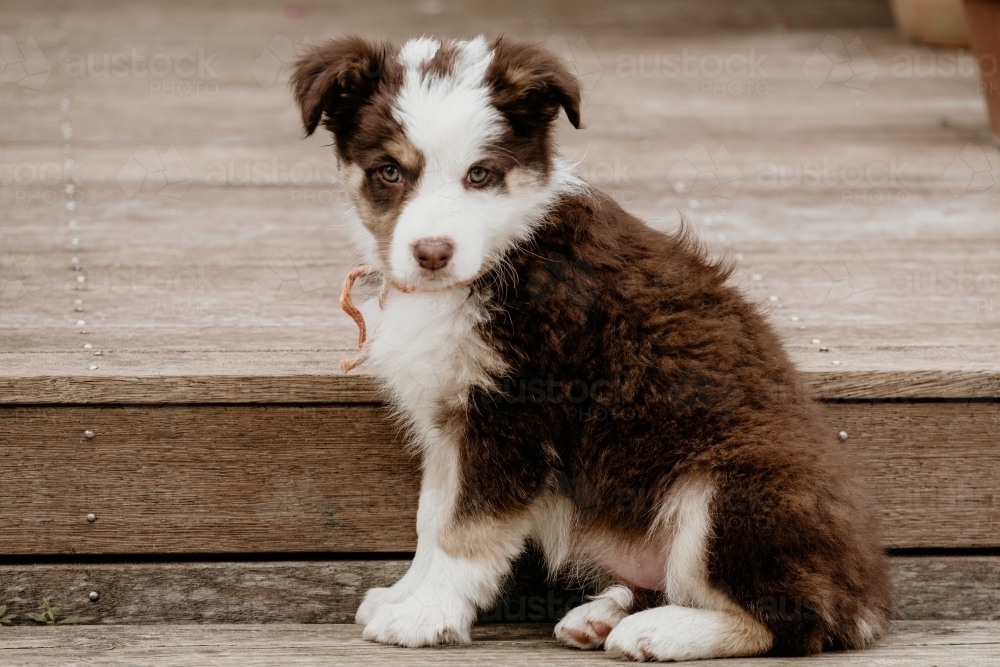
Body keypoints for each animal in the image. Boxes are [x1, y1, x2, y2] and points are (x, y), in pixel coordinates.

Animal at [290, 35, 892, 656]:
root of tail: (869, 595)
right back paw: (603, 615)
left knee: (794, 617)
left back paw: (660, 631)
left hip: (731, 490)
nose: (432, 252)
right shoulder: (453, 418)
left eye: (480, 175)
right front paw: (404, 594)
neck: (503, 252)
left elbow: (466, 531)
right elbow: (431, 518)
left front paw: (426, 616)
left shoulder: (513, 417)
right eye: (389, 172)